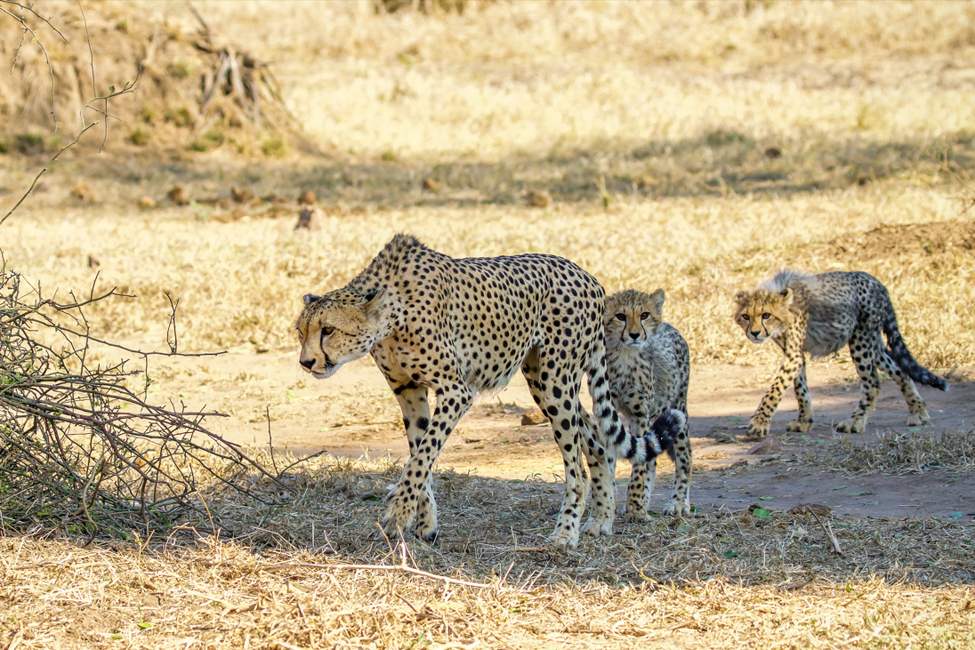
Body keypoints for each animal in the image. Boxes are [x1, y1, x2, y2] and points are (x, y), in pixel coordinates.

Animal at [604, 288, 692, 519]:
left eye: (644, 315)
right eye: (620, 316)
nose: (635, 335)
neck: (625, 356)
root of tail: (670, 326)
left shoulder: (640, 415)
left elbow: (639, 465)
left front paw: (635, 506)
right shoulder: (610, 413)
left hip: (678, 410)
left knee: (685, 458)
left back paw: (679, 503)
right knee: (653, 459)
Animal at [734, 270, 948, 439]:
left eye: (766, 315)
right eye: (745, 316)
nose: (754, 333)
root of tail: (877, 282)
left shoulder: (793, 355)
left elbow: (775, 389)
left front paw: (759, 423)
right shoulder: (795, 354)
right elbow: (800, 388)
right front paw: (804, 421)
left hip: (861, 340)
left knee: (873, 382)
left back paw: (855, 422)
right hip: (873, 344)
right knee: (899, 370)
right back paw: (918, 412)